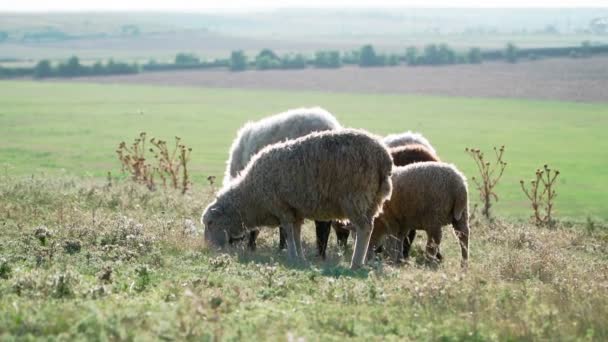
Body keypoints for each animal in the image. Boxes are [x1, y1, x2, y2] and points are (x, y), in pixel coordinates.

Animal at [204, 129, 394, 270]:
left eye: (210, 223)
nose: (208, 248)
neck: (250, 195)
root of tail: (384, 157)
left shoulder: (281, 207)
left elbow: (288, 232)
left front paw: (292, 256)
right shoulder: (295, 210)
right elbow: (295, 233)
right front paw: (300, 257)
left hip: (355, 197)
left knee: (364, 229)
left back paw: (355, 263)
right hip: (372, 201)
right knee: (370, 229)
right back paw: (362, 261)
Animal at [222, 107, 342, 254]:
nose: (230, 245)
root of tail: (329, 125)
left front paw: (253, 246)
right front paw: (282, 246)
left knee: (322, 224)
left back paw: (320, 252)